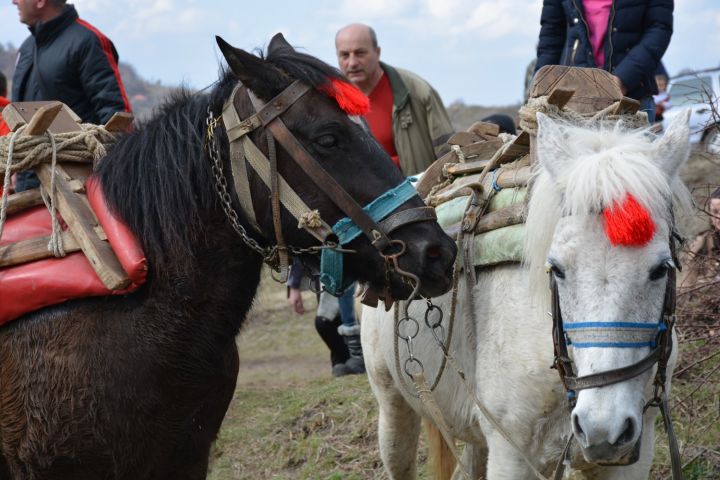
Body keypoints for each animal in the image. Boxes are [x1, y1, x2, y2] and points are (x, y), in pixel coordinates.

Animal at [362, 110, 696, 478]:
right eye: (557, 269)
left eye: (661, 269)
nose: (601, 428)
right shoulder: (510, 455)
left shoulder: (634, 454)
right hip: (393, 406)